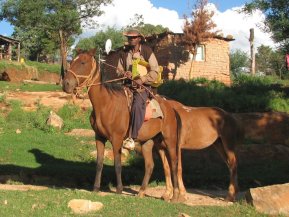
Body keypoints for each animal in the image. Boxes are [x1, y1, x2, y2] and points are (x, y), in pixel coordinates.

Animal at [62, 49, 180, 202]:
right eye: (72, 61)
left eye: (83, 62)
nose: (66, 84)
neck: (105, 104)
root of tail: (171, 108)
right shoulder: (99, 138)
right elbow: (99, 163)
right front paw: (96, 188)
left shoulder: (117, 139)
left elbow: (117, 164)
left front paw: (119, 189)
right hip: (150, 142)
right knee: (150, 165)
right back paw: (141, 192)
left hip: (170, 140)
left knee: (174, 164)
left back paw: (175, 195)